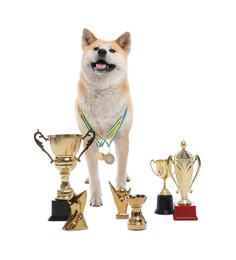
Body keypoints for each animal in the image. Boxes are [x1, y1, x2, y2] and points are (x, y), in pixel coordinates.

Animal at [75, 27, 133, 207]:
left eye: (112, 50)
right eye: (95, 48)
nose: (101, 51)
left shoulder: (122, 138)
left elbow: (120, 169)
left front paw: (121, 194)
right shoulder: (88, 138)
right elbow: (94, 172)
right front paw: (95, 196)